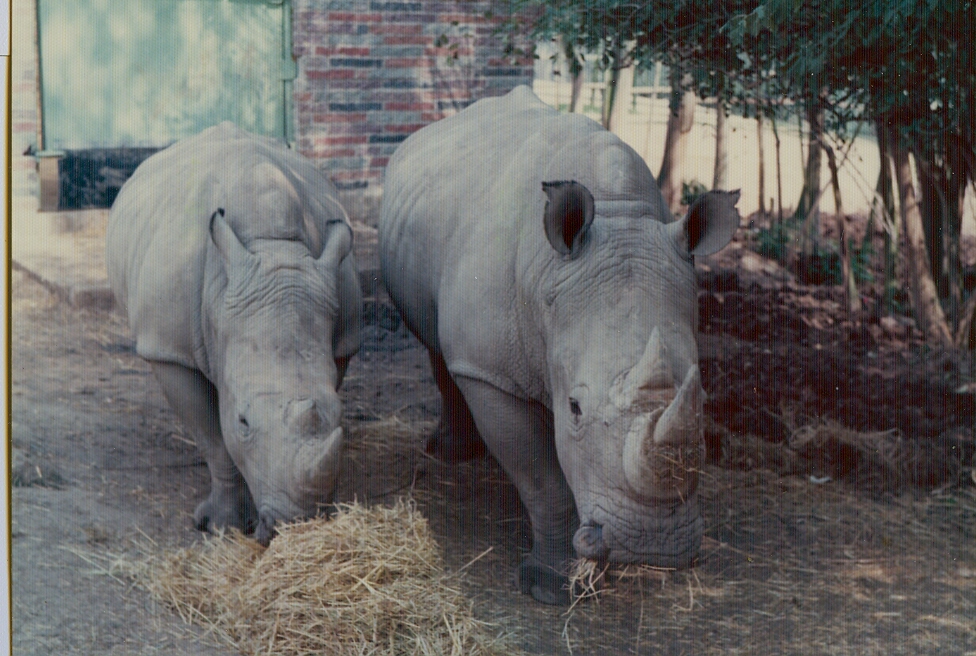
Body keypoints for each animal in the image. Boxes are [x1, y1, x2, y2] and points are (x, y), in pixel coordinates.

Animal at [107, 122, 362, 545]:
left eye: (342, 413)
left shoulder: (340, 341)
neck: (272, 247)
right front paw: (221, 527)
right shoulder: (168, 348)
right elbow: (214, 439)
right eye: (243, 422)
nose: (294, 524)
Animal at [378, 86, 739, 604]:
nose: (656, 545)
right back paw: (449, 454)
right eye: (575, 407)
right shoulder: (490, 371)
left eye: (705, 400)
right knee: (442, 353)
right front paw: (551, 587)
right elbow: (542, 479)